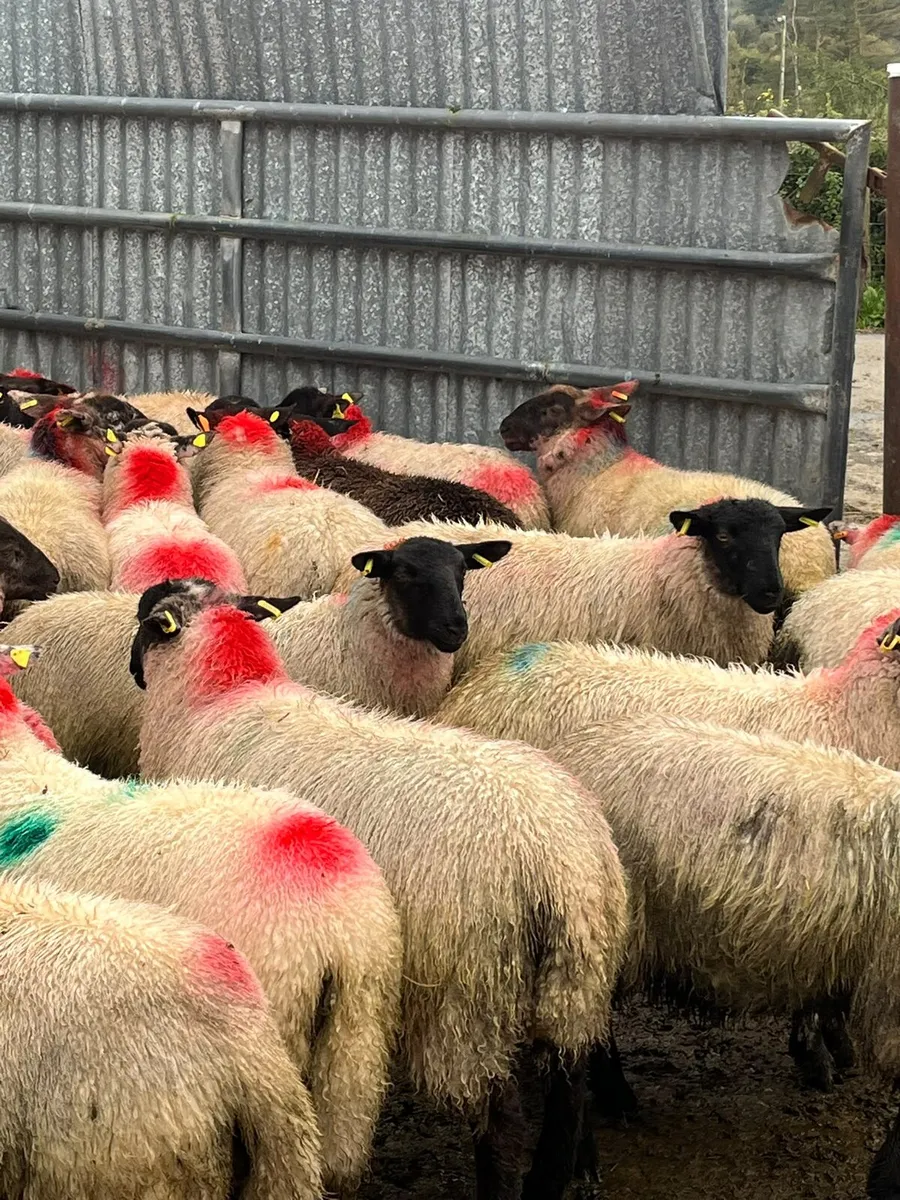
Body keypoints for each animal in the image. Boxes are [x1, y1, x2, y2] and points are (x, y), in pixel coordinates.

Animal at [131, 577, 630, 1200]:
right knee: (569, 1081)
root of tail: (557, 861)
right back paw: (565, 1170)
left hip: (469, 993)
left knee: (501, 1121)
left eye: (146, 623)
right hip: (578, 976)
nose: (133, 670)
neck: (217, 700)